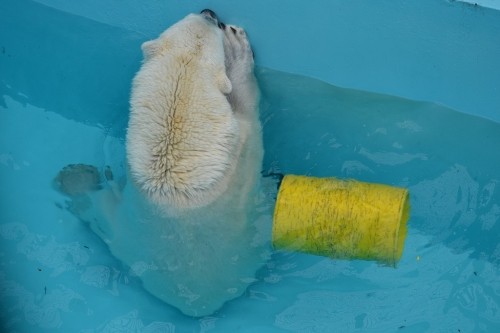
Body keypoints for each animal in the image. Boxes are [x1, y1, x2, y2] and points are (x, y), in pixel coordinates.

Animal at [54, 10, 272, 316]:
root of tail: (199, 306)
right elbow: (249, 109)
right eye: (214, 29)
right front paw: (236, 47)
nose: (209, 12)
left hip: (121, 232)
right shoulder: (242, 150)